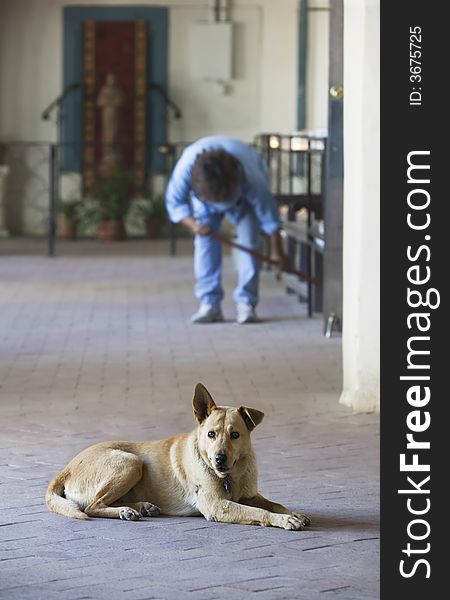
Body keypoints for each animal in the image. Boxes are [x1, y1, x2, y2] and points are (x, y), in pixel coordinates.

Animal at [47, 384, 312, 528]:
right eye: (211, 434)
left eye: (235, 434)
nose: (219, 459)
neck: (232, 476)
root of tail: (65, 469)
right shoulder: (217, 505)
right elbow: (260, 513)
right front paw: (284, 520)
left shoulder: (251, 495)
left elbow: (275, 504)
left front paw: (292, 513)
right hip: (131, 462)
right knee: (93, 506)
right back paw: (126, 511)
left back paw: (139, 507)